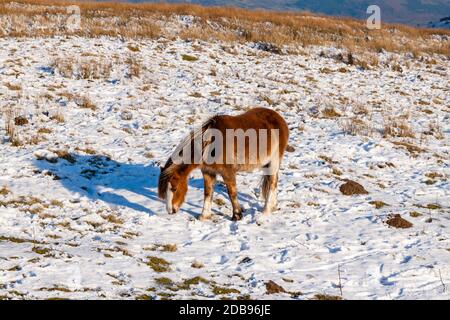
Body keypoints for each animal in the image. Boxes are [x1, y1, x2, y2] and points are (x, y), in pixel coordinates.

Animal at [158, 107, 290, 220]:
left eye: (174, 188)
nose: (170, 211)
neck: (211, 144)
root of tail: (279, 118)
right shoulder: (208, 172)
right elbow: (208, 193)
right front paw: (204, 216)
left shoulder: (227, 172)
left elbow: (232, 193)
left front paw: (237, 216)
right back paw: (273, 206)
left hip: (273, 162)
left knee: (272, 183)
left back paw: (266, 210)